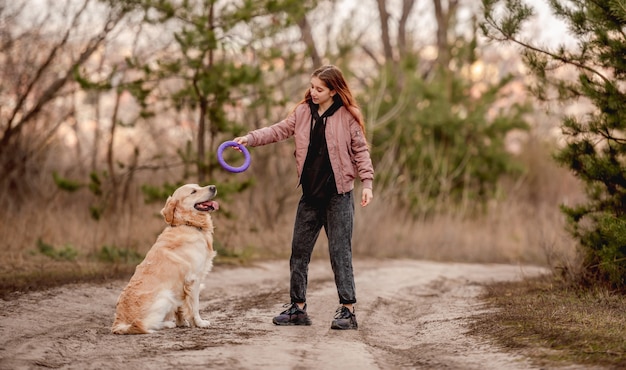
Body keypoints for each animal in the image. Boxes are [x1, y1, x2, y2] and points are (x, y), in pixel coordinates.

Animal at [111, 184, 218, 334]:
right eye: (193, 191)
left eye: (198, 186)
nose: (213, 187)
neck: (188, 223)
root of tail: (118, 324)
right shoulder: (193, 279)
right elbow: (195, 306)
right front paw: (200, 323)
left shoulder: (181, 286)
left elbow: (180, 308)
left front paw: (182, 322)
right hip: (166, 297)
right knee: (144, 325)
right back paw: (167, 324)